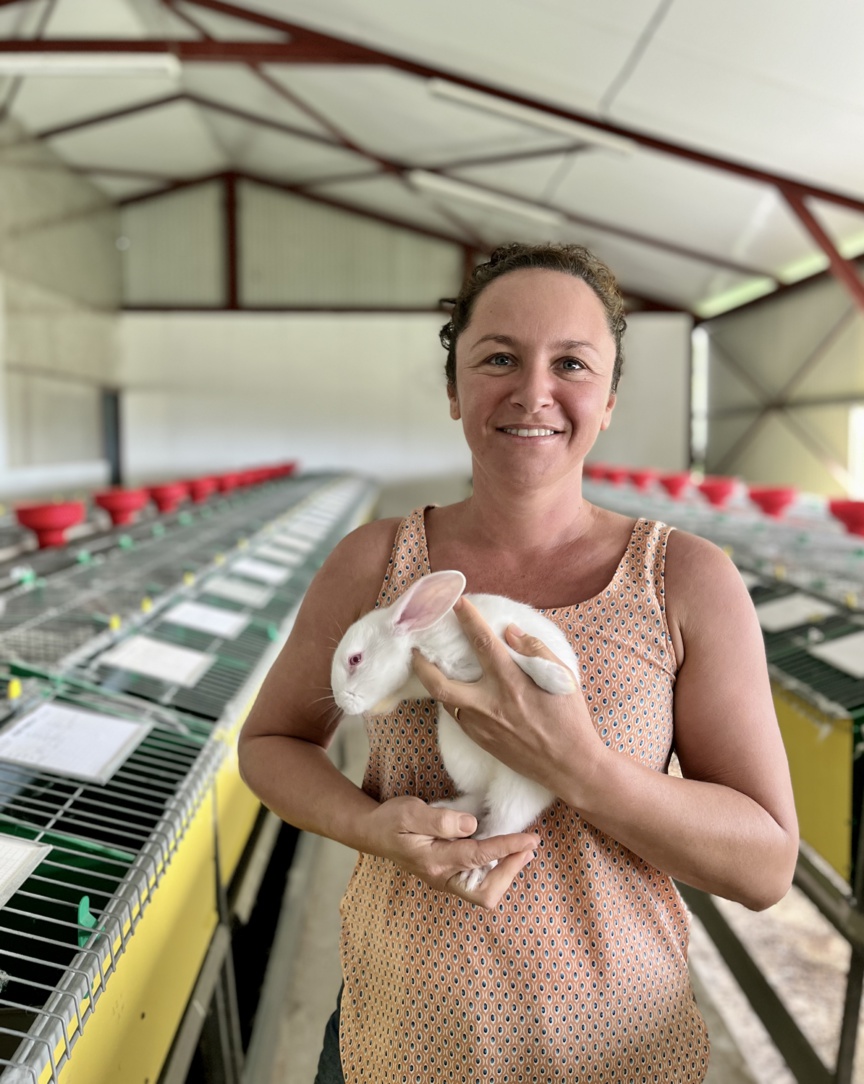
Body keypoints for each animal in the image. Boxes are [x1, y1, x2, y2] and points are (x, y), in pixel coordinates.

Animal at [329, 572, 581, 884]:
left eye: (355, 659)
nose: (342, 702)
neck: (419, 640)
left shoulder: (494, 645)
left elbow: (518, 660)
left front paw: (560, 681)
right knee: (479, 803)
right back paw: (446, 813)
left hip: (518, 788)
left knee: (497, 827)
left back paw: (474, 870)